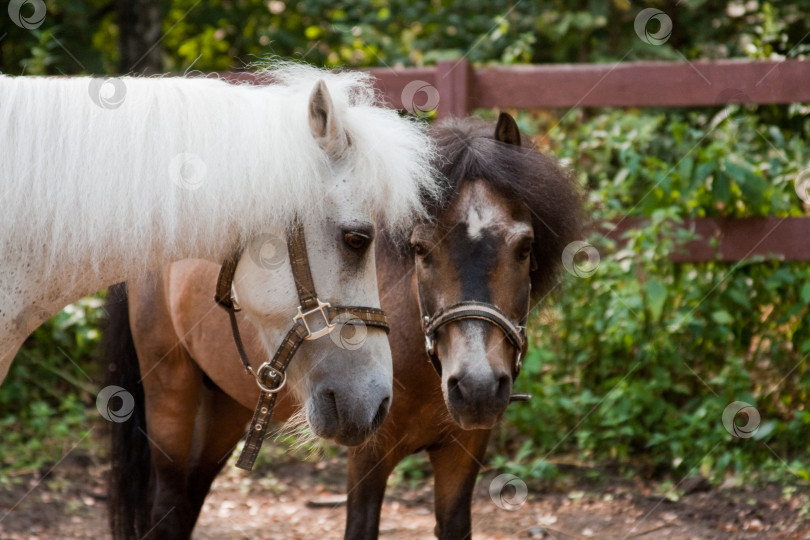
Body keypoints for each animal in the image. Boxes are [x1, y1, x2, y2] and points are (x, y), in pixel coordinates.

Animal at [104, 112, 576, 536]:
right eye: (420, 249)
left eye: (524, 247)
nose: (477, 386)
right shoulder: (368, 454)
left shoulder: (462, 453)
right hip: (171, 396)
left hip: (223, 404)